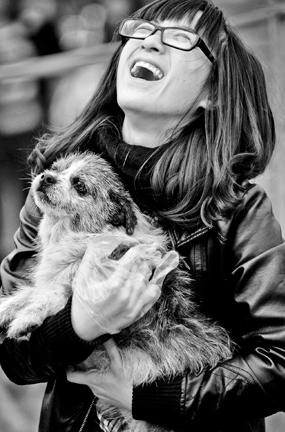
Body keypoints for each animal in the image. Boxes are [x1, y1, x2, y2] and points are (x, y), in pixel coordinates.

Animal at [0, 151, 232, 432]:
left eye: (80, 185)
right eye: (55, 168)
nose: (46, 177)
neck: (80, 237)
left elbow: (53, 294)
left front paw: (27, 319)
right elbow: (29, 293)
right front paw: (6, 309)